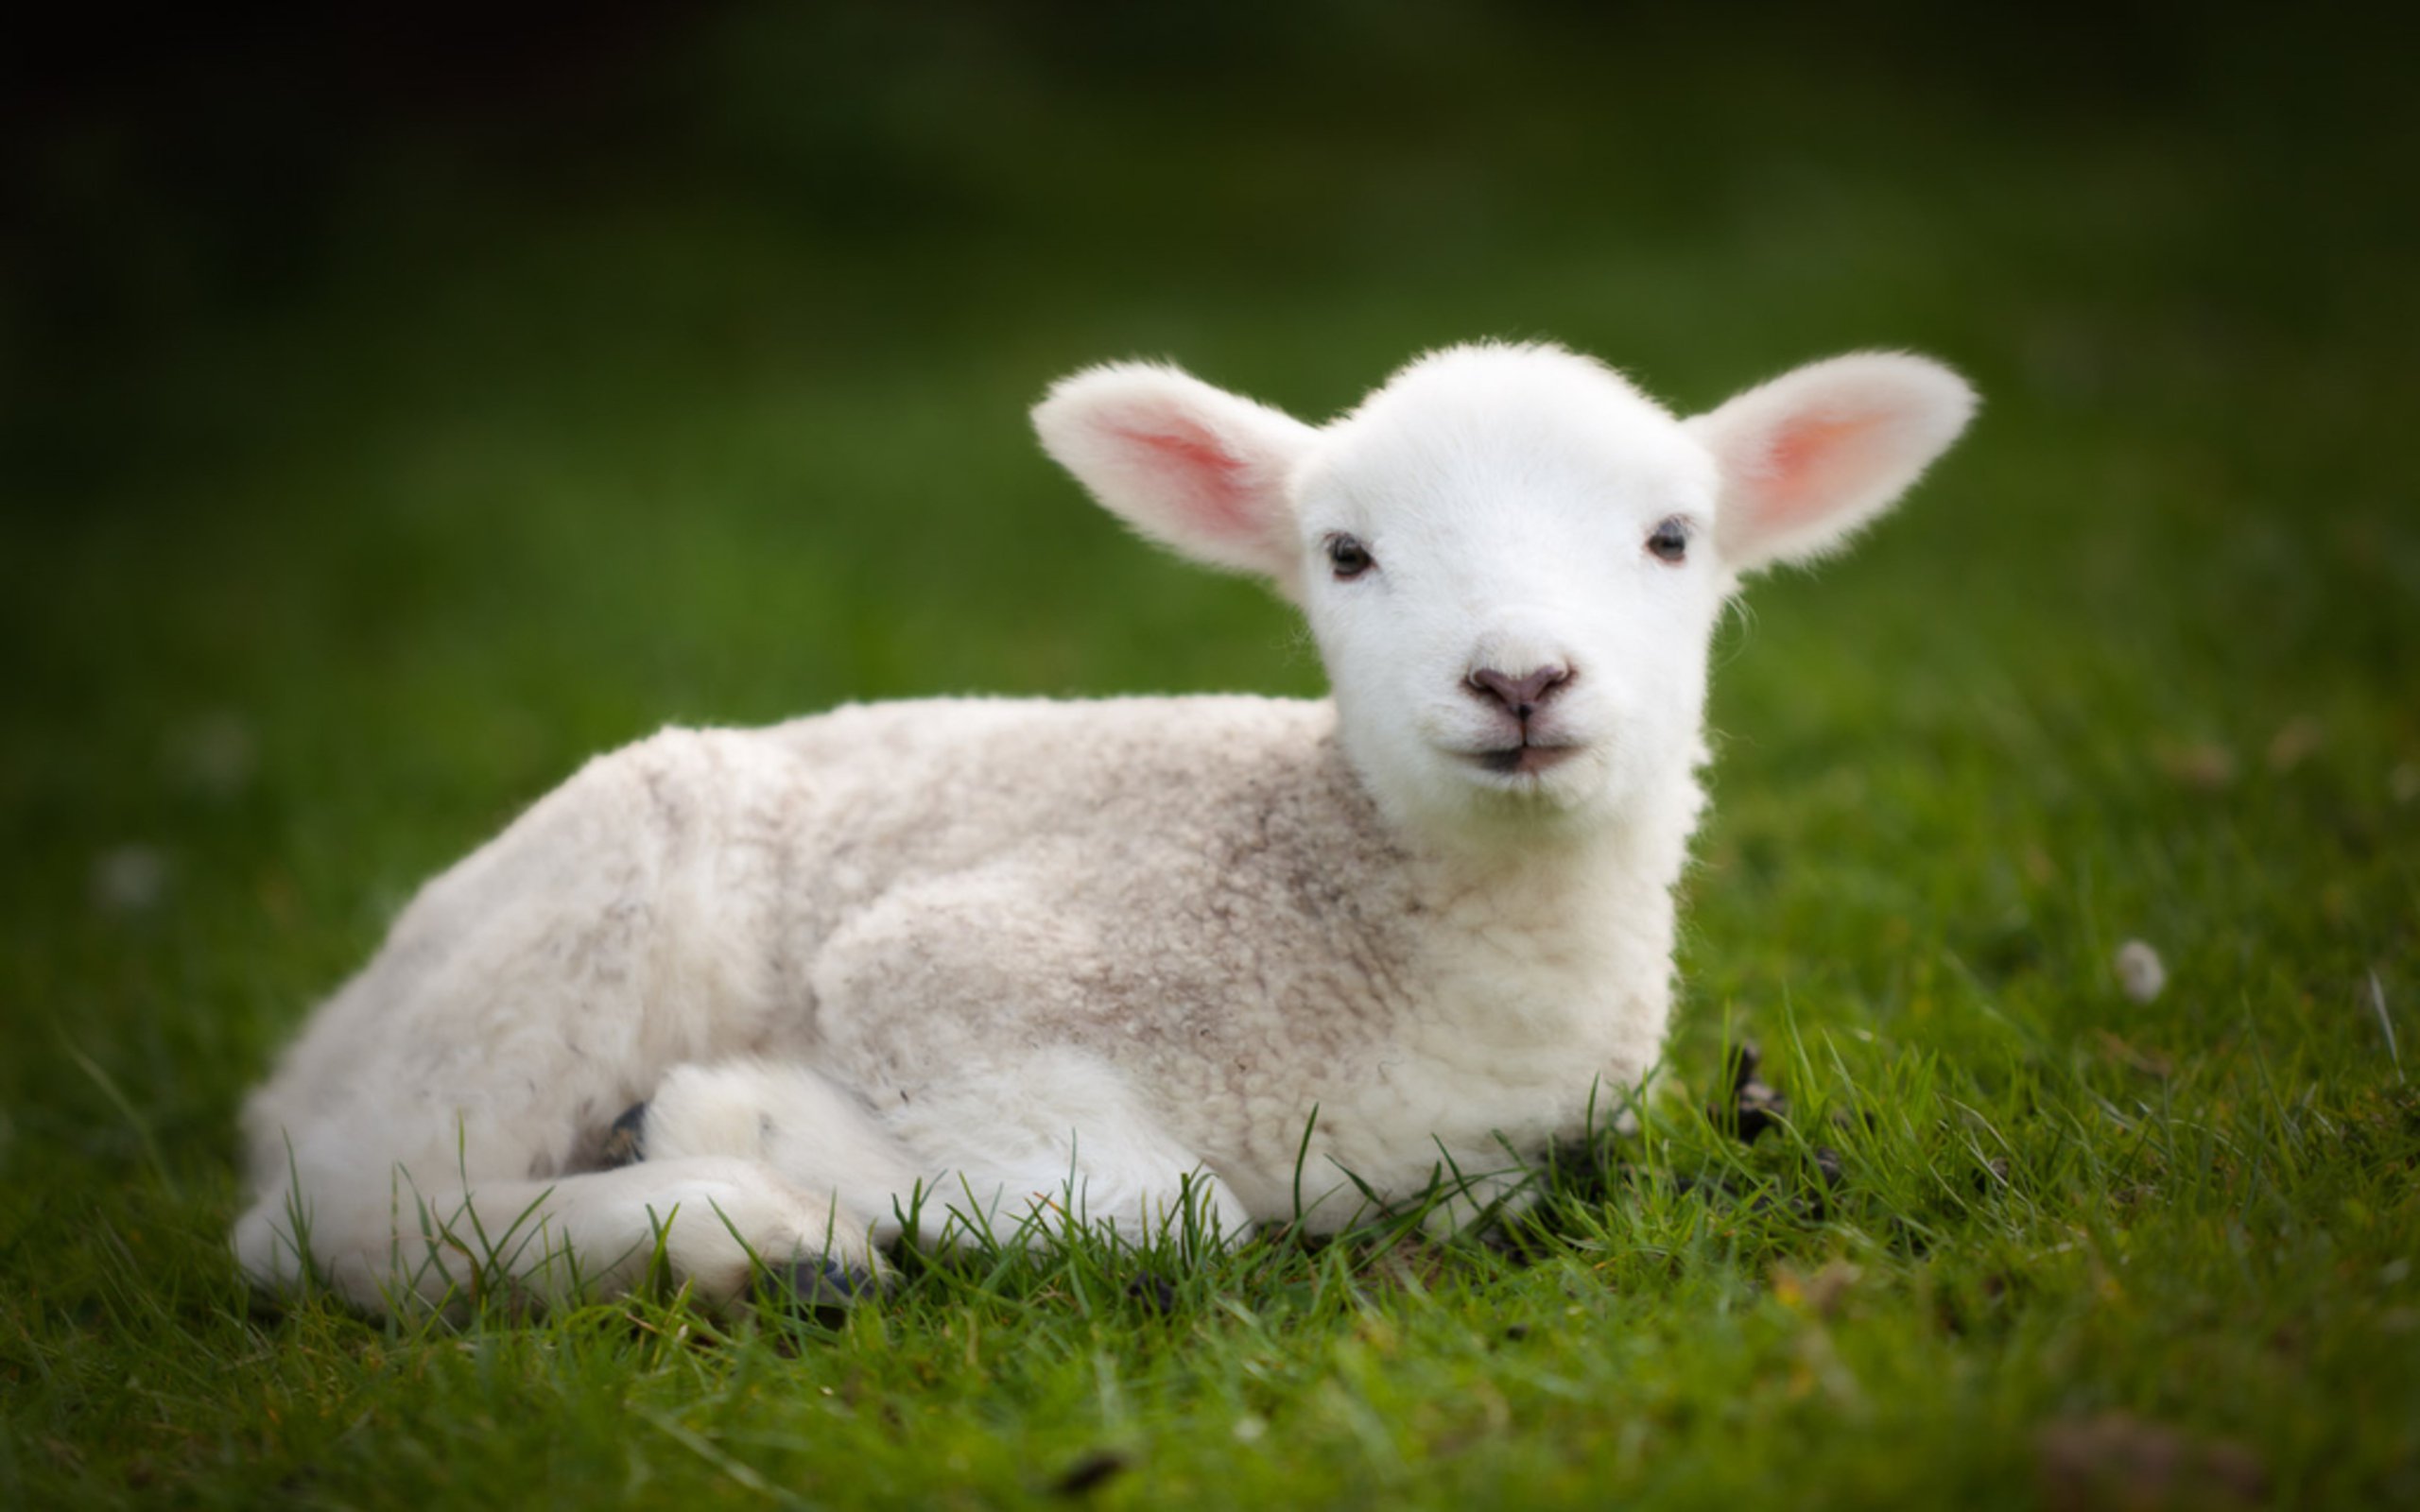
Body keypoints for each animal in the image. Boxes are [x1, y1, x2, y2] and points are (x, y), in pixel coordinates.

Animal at [231, 338, 1964, 1306]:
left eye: (1673, 538)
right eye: (1343, 555)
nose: (1520, 678)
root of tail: (303, 1056)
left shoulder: (1508, 1162)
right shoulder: (956, 962)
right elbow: (1161, 1213)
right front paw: (760, 1136)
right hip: (571, 930)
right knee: (333, 1220)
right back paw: (735, 1235)